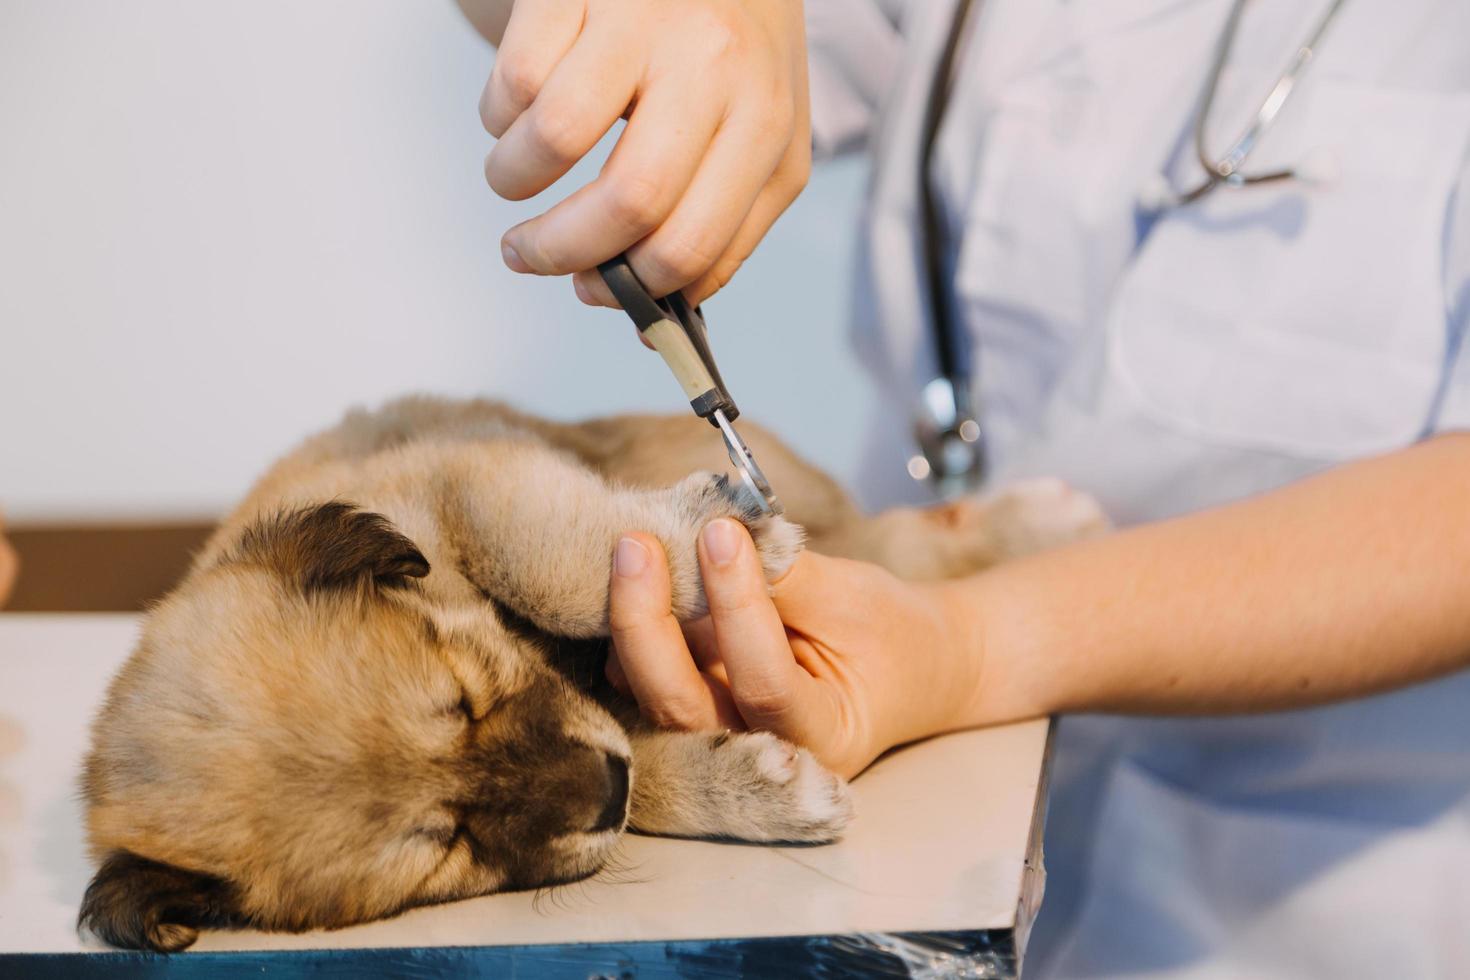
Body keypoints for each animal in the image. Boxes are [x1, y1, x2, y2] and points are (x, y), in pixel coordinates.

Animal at [71, 396, 1105, 952]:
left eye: (465, 697)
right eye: (446, 845)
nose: (604, 786)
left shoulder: (470, 478)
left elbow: (559, 563)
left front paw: (703, 540)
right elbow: (651, 772)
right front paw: (759, 788)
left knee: (906, 540)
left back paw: (1046, 521)